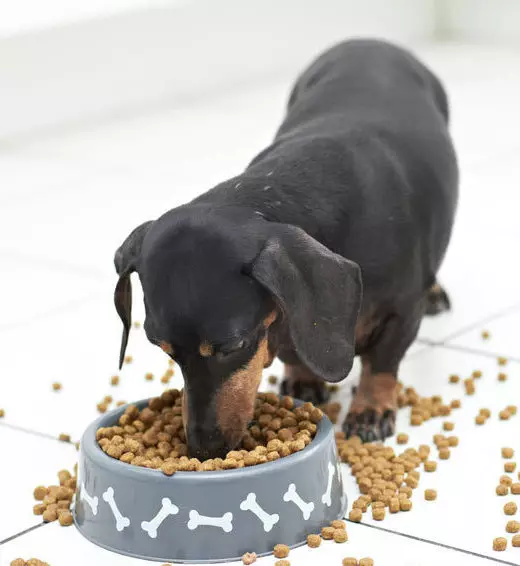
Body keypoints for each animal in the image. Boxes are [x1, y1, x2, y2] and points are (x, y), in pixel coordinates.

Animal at [115, 41, 460, 466]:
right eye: (162, 348)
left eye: (234, 346)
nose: (202, 449)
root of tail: (368, 41)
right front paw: (303, 381)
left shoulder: (402, 312)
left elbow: (382, 363)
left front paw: (370, 410)